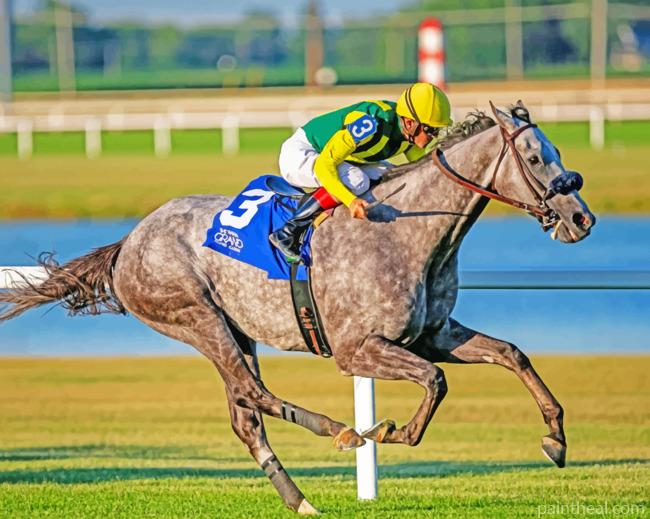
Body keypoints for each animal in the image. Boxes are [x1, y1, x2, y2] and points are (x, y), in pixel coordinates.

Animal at [0, 101, 596, 514]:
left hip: (234, 328)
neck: (408, 230)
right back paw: (339, 429)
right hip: (197, 317)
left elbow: (512, 354)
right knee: (252, 393)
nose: (582, 218)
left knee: (246, 416)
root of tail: (129, 240)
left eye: (558, 154)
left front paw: (555, 439)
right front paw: (389, 432)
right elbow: (434, 381)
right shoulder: (357, 350)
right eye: (537, 157)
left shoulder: (434, 334)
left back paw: (301, 499)